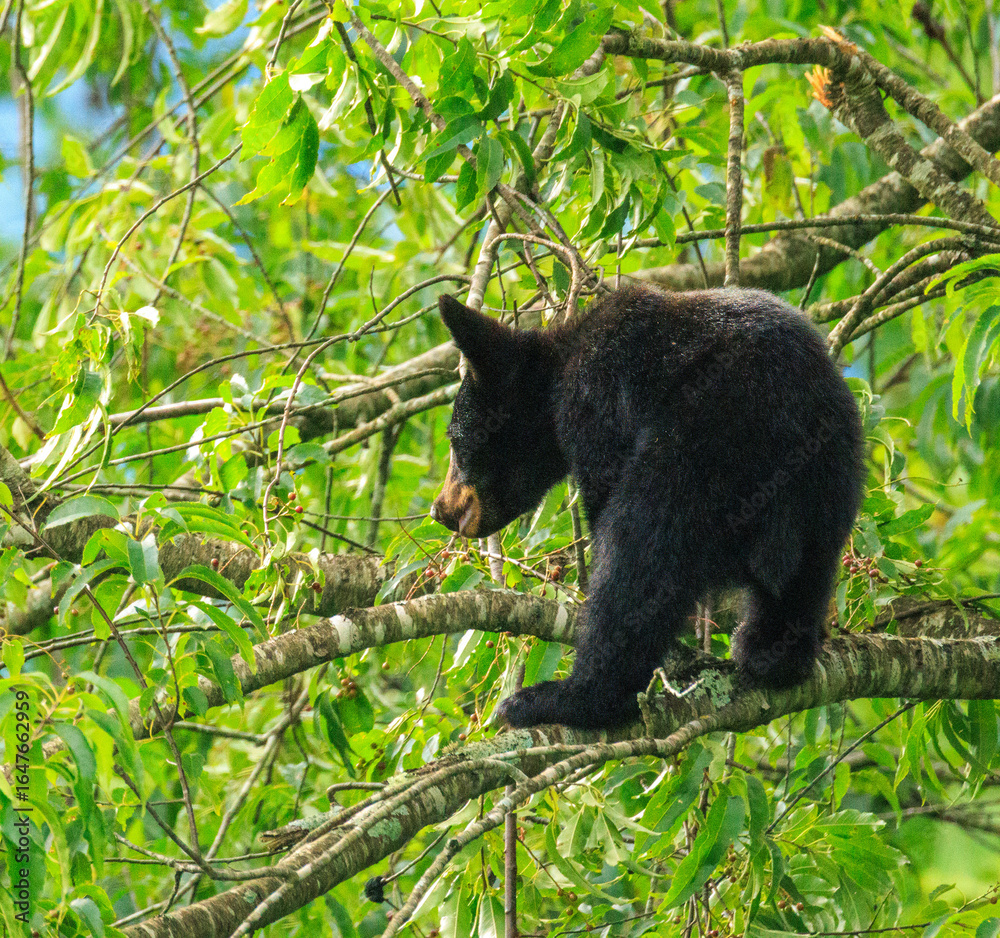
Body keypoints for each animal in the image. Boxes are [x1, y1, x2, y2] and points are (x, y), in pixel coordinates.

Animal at [430, 285, 865, 730]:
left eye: (454, 440)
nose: (440, 510)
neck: (560, 370)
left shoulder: (597, 400)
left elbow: (611, 514)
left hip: (698, 447)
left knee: (639, 550)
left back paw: (571, 697)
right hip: (833, 472)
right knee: (809, 569)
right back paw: (773, 653)